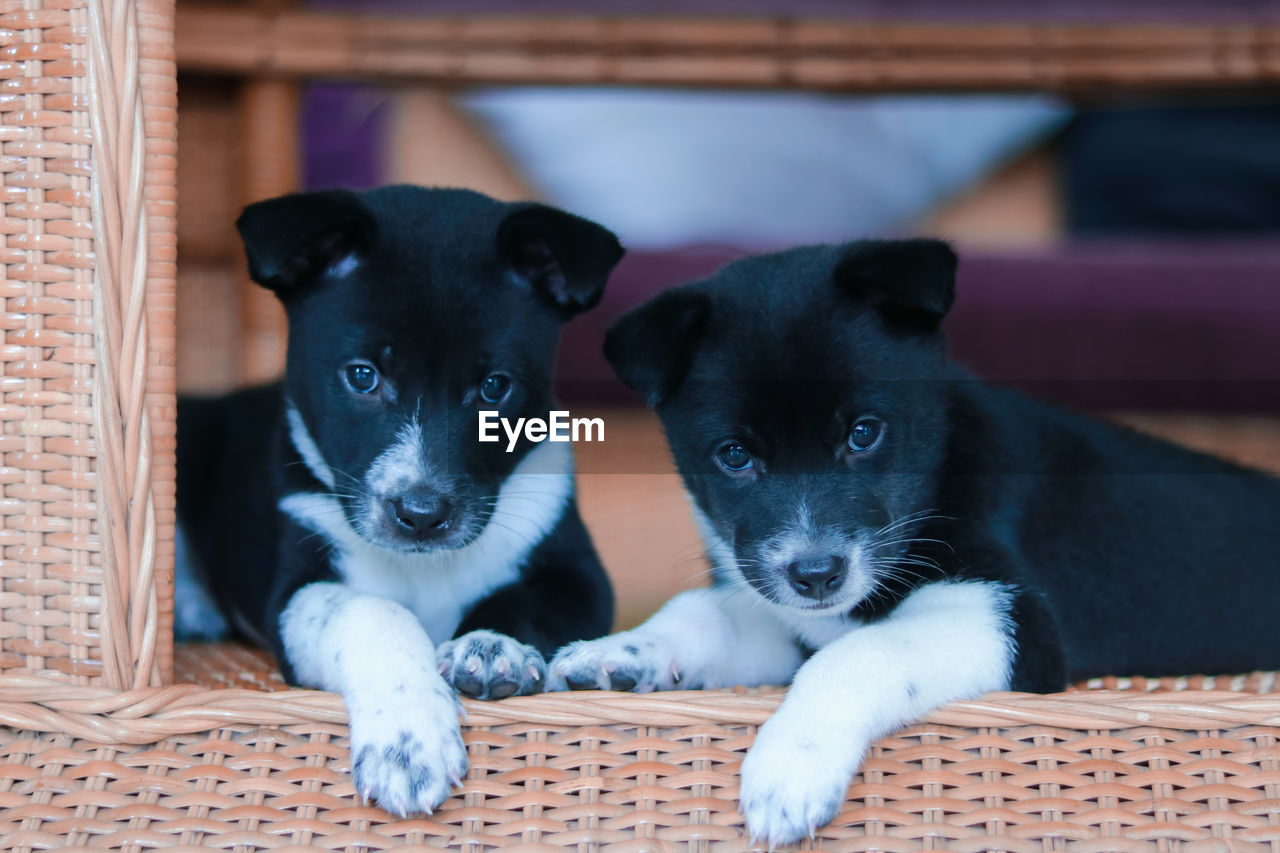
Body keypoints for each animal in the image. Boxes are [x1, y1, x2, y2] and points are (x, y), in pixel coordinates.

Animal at [179, 188, 619, 819]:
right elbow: (373, 611)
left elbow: (528, 603)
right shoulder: (295, 590)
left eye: (494, 387)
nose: (421, 515)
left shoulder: (579, 574)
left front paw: (492, 647)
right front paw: (408, 743)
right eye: (363, 376)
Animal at [547, 239, 1280, 845]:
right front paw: (623, 649)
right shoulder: (786, 617)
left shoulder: (1011, 615)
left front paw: (790, 768)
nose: (816, 574)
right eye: (734, 455)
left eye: (863, 432)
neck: (940, 475)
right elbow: (707, 611)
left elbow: (859, 653)